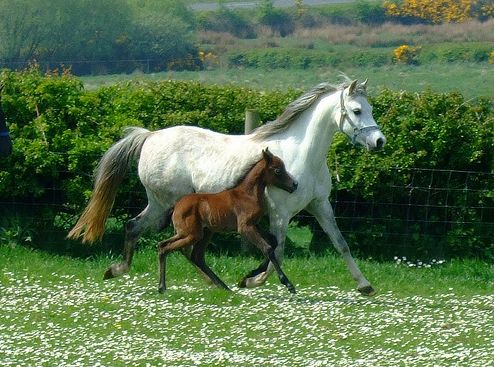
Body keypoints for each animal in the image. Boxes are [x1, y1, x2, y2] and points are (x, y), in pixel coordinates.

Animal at [68, 78, 386, 296]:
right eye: (357, 110)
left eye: (370, 108)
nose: (379, 141)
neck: (302, 154)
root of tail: (150, 136)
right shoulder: (281, 214)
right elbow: (278, 249)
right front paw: (254, 279)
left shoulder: (320, 206)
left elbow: (341, 243)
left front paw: (365, 285)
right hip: (166, 204)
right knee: (154, 236)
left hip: (169, 210)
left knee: (142, 231)